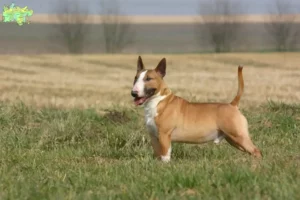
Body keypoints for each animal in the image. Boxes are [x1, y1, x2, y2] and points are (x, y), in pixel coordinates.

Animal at [130, 55, 262, 162]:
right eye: (135, 78)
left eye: (148, 79)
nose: (133, 93)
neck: (158, 101)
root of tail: (232, 105)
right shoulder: (154, 137)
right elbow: (158, 155)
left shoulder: (164, 135)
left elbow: (165, 156)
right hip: (233, 139)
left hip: (238, 135)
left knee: (256, 151)